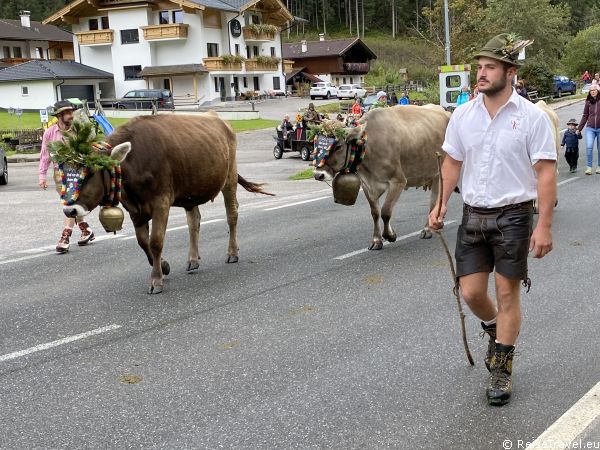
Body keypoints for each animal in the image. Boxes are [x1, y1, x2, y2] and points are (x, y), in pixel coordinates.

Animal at [62, 114, 272, 294]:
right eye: (66, 172)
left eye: (91, 172)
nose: (69, 209)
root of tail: (217, 118)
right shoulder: (134, 210)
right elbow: (143, 242)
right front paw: (164, 267)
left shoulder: (160, 203)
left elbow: (155, 241)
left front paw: (156, 280)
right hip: (191, 190)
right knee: (194, 222)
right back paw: (193, 260)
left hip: (229, 178)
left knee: (232, 215)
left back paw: (232, 253)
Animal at [314, 106, 450, 250]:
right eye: (315, 143)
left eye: (339, 146)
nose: (318, 174)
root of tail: (445, 111)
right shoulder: (367, 185)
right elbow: (375, 212)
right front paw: (376, 240)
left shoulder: (398, 181)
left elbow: (386, 211)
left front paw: (390, 235)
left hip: (438, 175)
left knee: (434, 202)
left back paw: (427, 229)